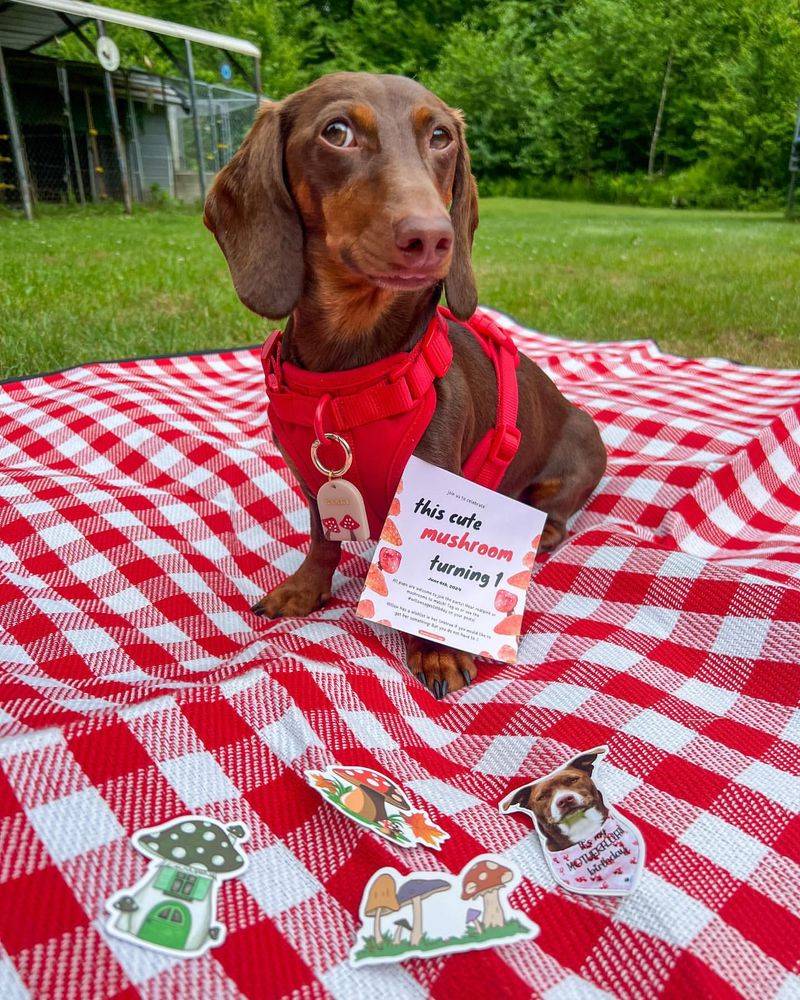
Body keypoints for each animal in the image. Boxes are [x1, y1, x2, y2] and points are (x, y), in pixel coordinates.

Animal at [203, 72, 604, 696]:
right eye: (336, 131)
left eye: (441, 137)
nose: (433, 238)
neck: (348, 381)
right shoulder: (315, 482)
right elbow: (322, 536)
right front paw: (305, 586)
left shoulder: (431, 489)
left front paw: (434, 650)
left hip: (575, 460)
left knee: (556, 516)